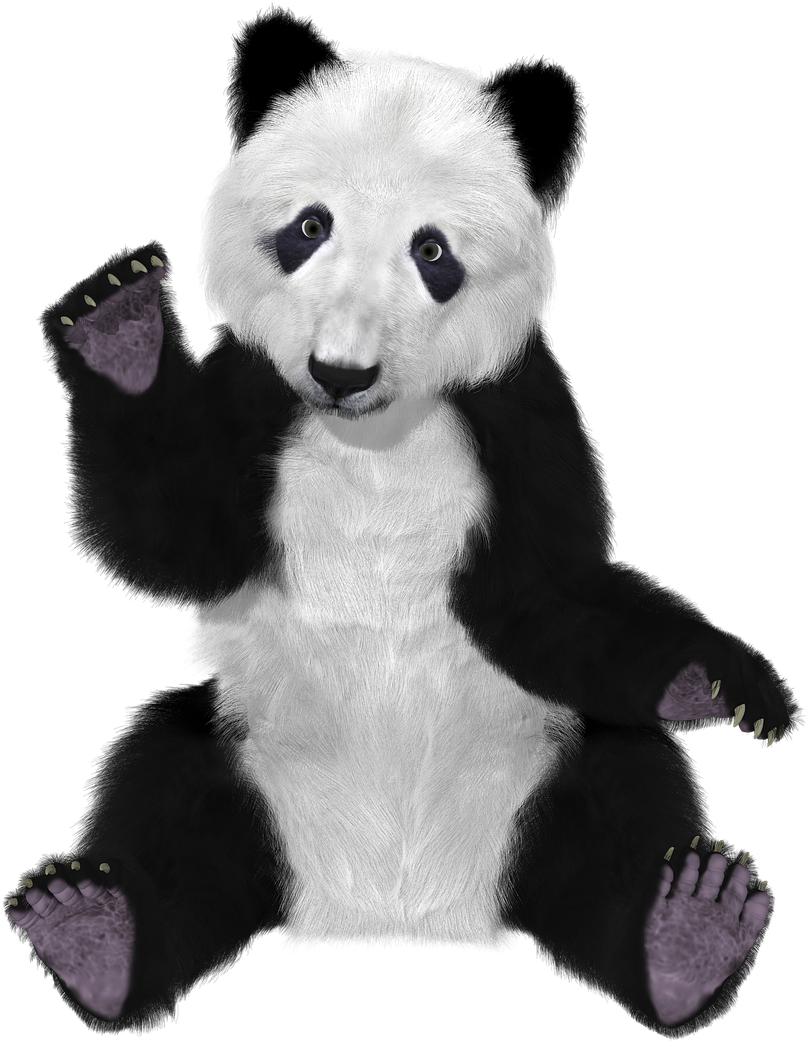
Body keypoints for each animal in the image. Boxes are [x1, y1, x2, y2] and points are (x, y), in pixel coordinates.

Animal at [7, 46, 800, 1035]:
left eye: (433, 252)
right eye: (310, 226)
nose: (341, 373)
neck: (373, 433)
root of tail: (393, 909)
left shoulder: (517, 408)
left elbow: (547, 591)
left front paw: (723, 682)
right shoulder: (257, 390)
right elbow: (174, 541)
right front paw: (119, 328)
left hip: (542, 758)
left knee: (629, 790)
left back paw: (688, 932)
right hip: (246, 744)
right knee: (162, 786)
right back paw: (95, 933)